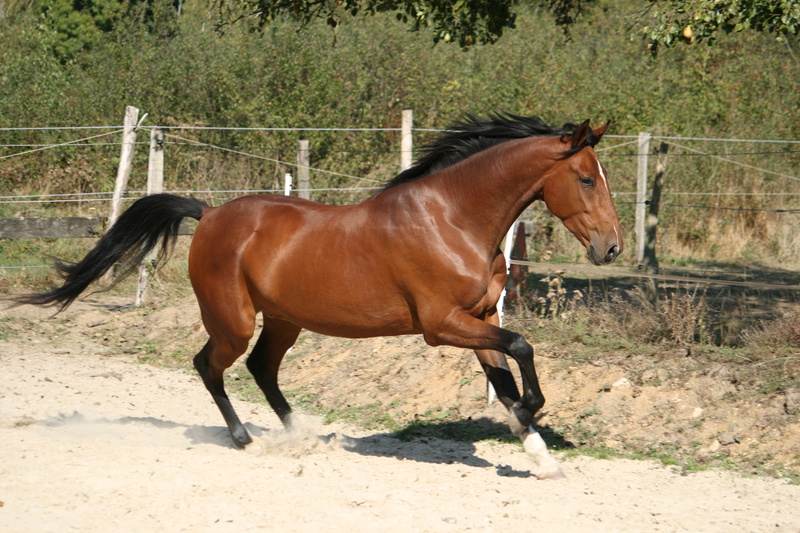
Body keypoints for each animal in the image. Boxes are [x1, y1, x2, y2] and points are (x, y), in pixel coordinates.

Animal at [14, 114, 622, 479]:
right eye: (586, 179)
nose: (612, 248)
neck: (453, 218)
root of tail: (209, 214)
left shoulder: (474, 318)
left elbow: (503, 371)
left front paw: (538, 454)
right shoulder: (441, 324)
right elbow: (521, 348)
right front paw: (533, 412)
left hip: (285, 320)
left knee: (261, 368)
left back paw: (300, 433)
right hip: (233, 320)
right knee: (210, 365)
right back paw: (247, 441)